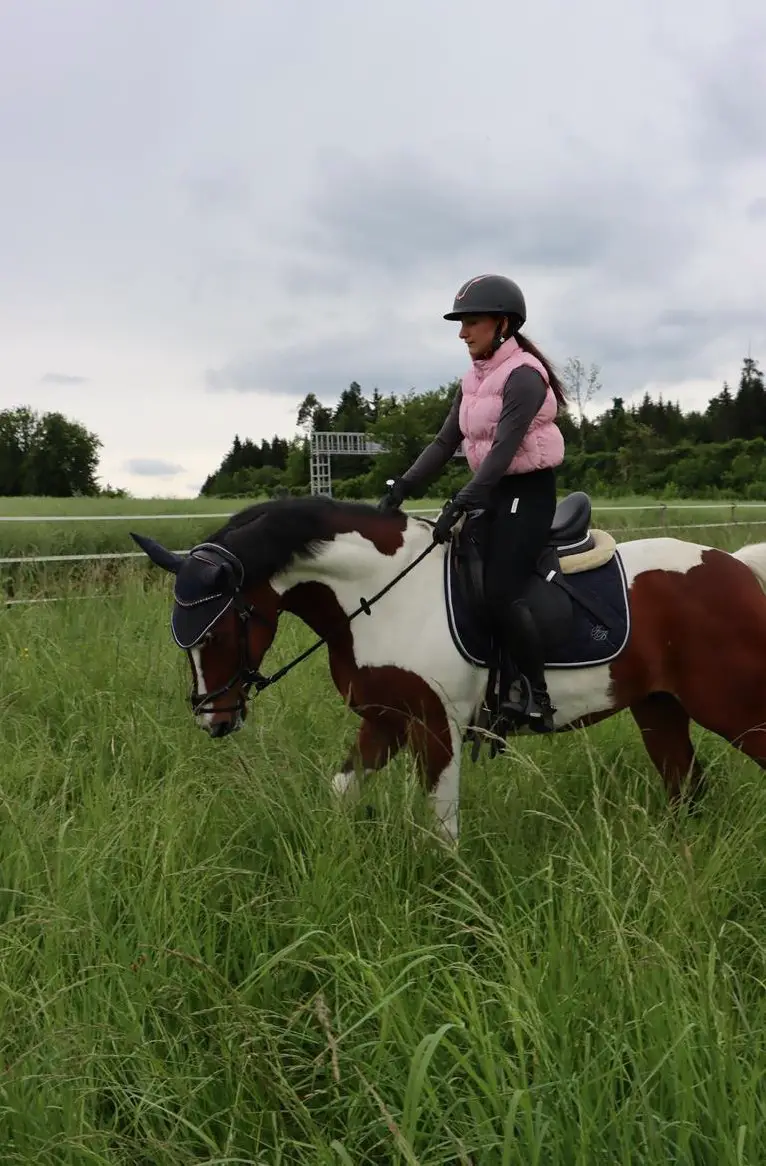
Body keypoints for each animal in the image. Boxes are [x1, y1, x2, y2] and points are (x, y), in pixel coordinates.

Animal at [131, 491, 766, 845]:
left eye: (216, 631)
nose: (214, 719)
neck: (382, 596)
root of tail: (735, 567)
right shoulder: (384, 721)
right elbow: (341, 792)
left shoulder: (436, 728)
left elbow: (442, 830)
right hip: (660, 709)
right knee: (686, 789)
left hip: (734, 708)